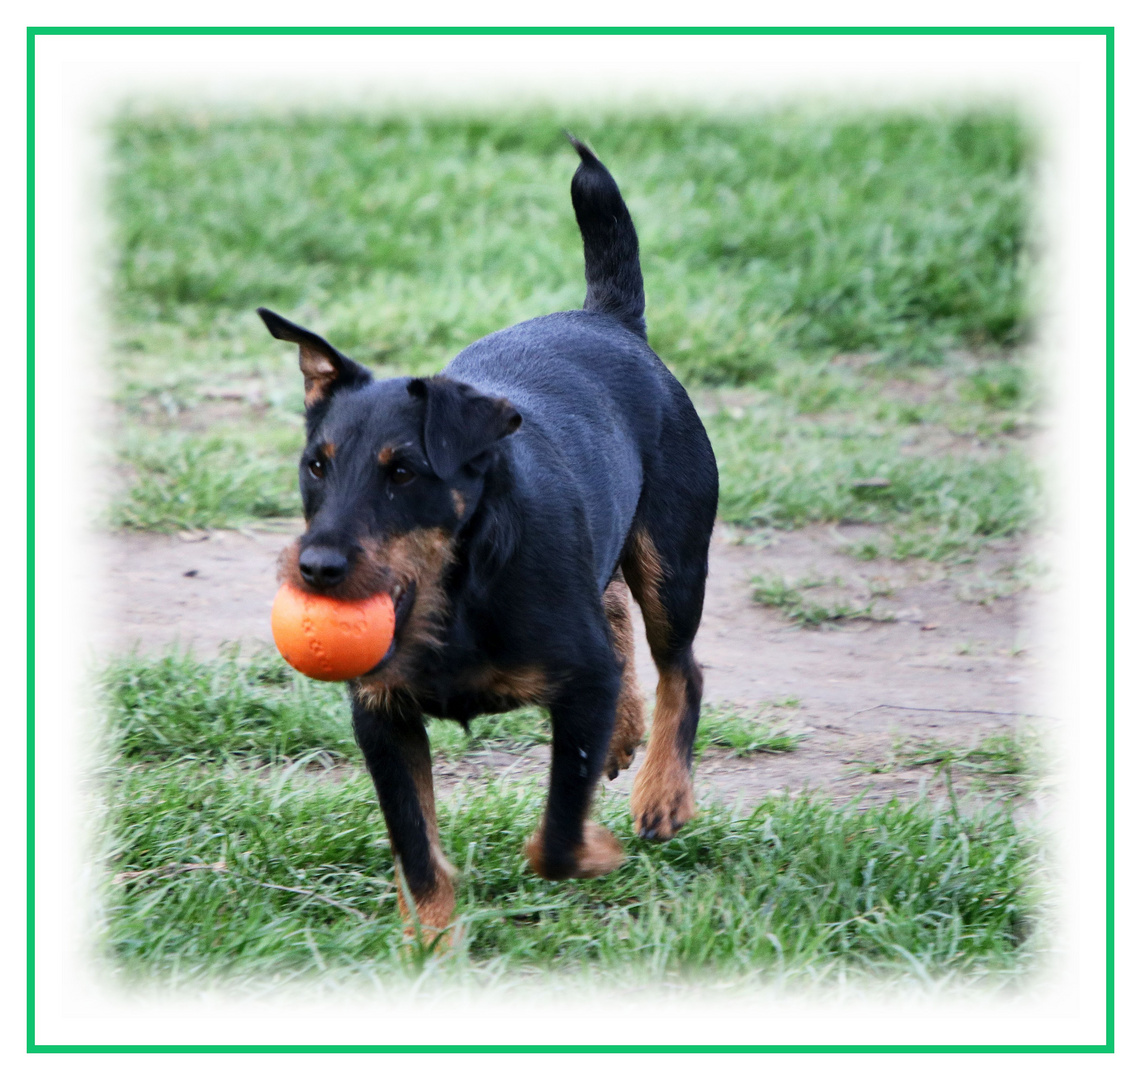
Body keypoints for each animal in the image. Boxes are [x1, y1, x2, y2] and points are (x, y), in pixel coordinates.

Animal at [261, 137, 716, 939]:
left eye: (403, 470)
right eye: (316, 465)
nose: (315, 567)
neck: (453, 594)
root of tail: (610, 319)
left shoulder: (581, 684)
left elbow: (557, 837)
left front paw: (595, 850)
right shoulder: (381, 715)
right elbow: (416, 848)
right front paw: (431, 946)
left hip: (673, 559)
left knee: (681, 666)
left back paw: (663, 793)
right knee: (615, 611)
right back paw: (625, 736)